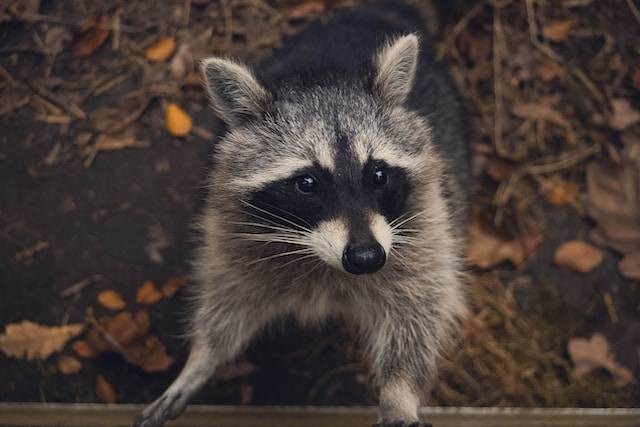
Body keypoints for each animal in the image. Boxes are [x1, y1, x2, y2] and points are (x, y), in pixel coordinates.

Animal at [136, 1, 470, 426]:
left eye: (378, 174)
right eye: (307, 183)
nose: (366, 257)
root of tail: (374, 13)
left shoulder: (424, 225)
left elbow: (419, 309)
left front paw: (399, 392)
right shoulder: (233, 226)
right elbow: (227, 295)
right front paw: (202, 358)